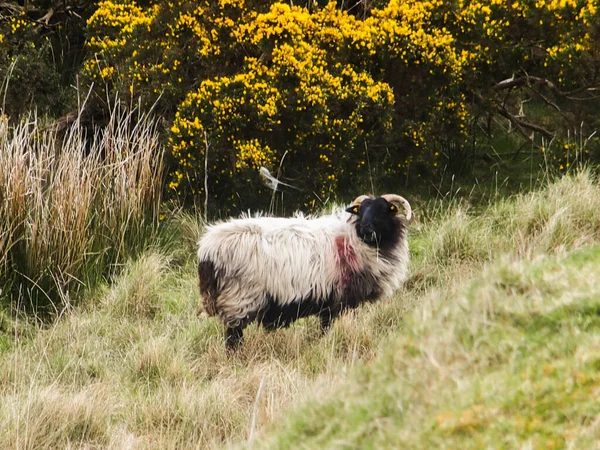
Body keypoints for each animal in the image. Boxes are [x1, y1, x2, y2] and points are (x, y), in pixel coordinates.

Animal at [197, 192, 412, 348]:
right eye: (361, 211)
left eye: (383, 210)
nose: (366, 230)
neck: (353, 239)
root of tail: (207, 249)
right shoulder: (336, 300)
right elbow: (326, 328)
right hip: (239, 297)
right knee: (233, 336)